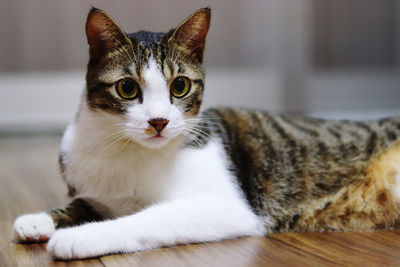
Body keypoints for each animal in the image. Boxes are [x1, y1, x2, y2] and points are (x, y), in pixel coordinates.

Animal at [12, 6, 400, 262]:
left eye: (180, 86)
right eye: (127, 88)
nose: (158, 121)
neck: (126, 150)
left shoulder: (227, 206)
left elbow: (147, 217)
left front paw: (80, 236)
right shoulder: (94, 190)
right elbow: (80, 204)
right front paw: (38, 219)